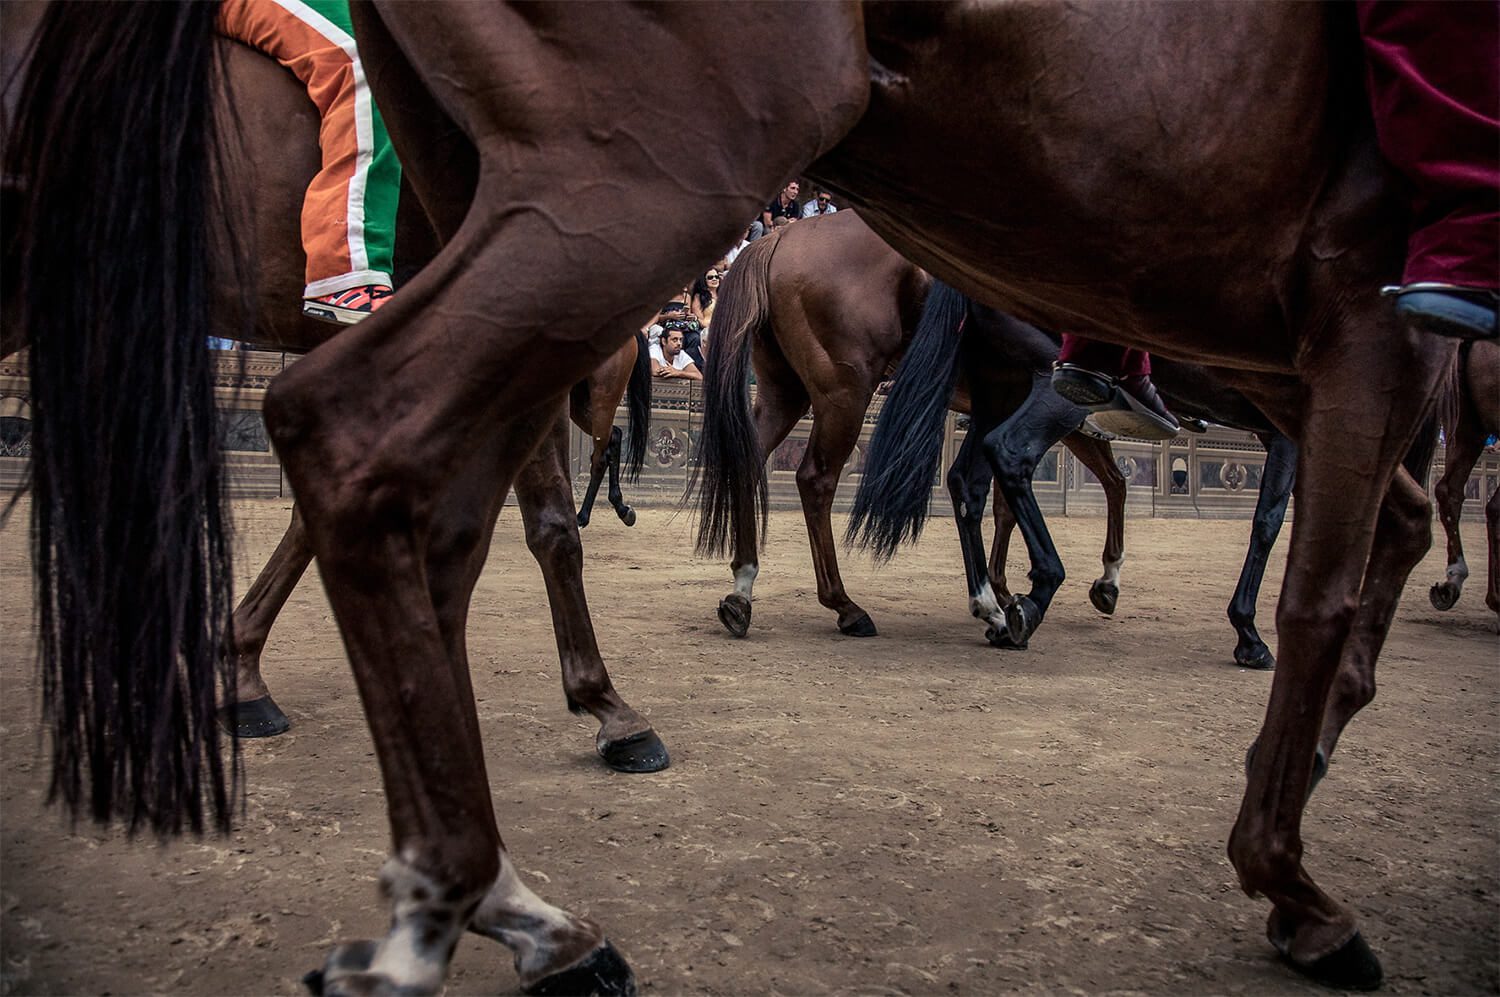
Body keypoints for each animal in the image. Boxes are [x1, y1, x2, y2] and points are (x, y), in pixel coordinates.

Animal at [695, 210, 1128, 646]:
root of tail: (779, 238)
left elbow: (1037, 495)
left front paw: (1005, 589)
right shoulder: (1058, 411)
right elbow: (1098, 483)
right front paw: (1094, 581)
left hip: (783, 392)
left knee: (748, 462)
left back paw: (742, 590)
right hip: (844, 394)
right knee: (816, 480)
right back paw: (845, 606)